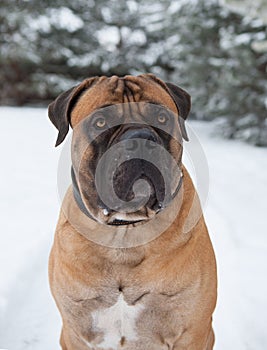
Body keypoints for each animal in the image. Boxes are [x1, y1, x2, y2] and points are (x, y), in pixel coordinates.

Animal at [48, 74, 218, 350]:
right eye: (101, 121)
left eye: (161, 118)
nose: (140, 138)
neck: (125, 231)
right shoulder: (75, 333)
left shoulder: (192, 332)